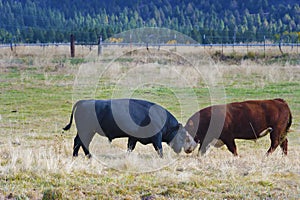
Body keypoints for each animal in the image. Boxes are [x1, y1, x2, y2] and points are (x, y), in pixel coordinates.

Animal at [62, 99, 197, 157]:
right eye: (182, 135)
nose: (187, 149)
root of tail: (83, 102)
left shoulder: (133, 138)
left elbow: (130, 147)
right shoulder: (156, 138)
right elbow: (159, 149)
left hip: (88, 131)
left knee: (81, 142)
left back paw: (84, 156)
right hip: (87, 131)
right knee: (80, 142)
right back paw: (83, 156)